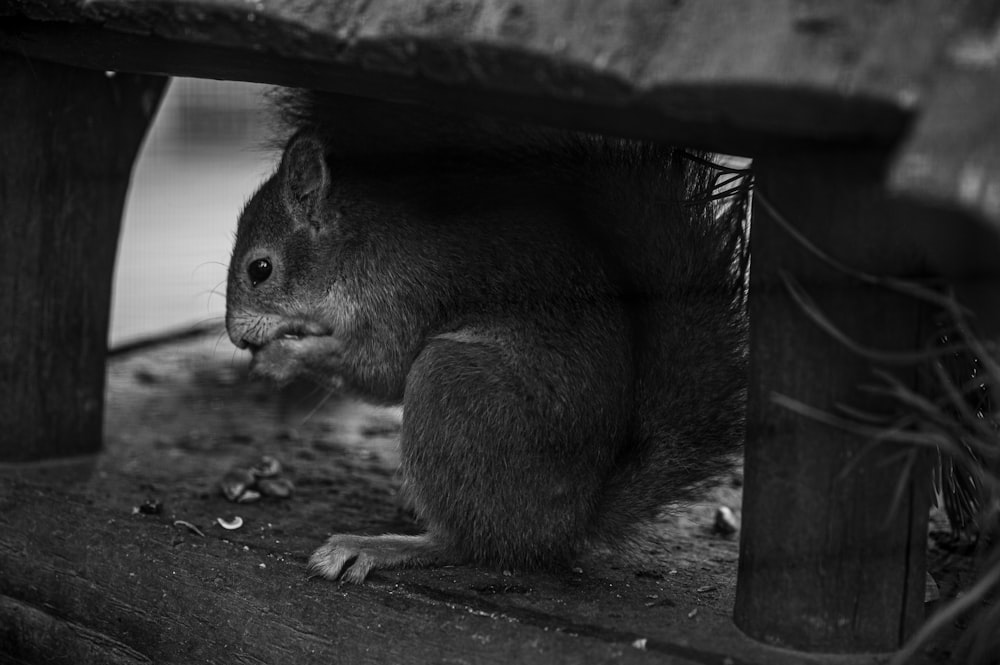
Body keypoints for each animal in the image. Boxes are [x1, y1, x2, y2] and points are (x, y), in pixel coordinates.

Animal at [225, 92, 744, 580]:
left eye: (260, 269)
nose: (235, 336)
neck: (356, 247)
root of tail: (569, 524)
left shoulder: (403, 297)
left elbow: (380, 370)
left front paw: (281, 358)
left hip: (454, 386)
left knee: (468, 545)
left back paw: (379, 546)